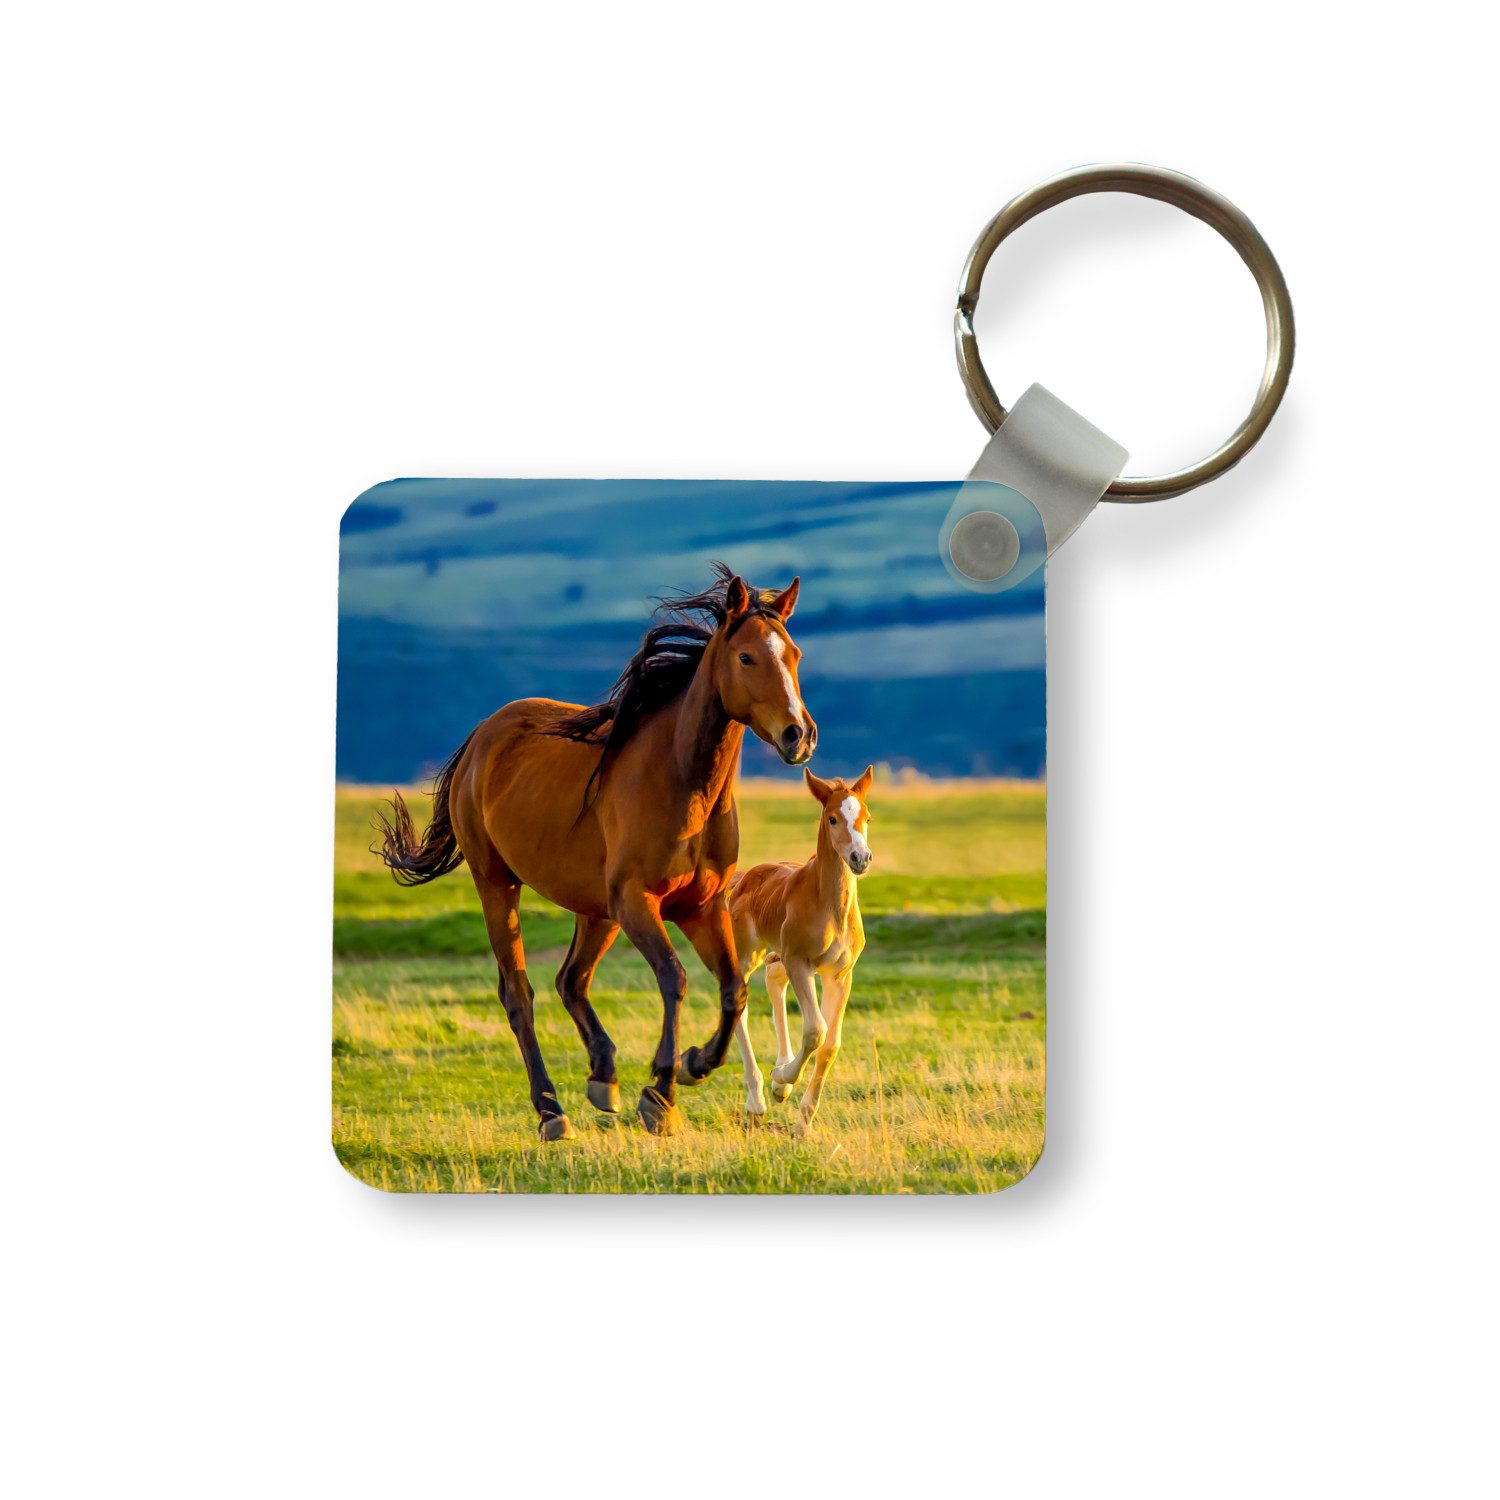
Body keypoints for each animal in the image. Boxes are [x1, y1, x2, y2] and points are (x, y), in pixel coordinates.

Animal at [374, 566, 816, 1140]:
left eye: (795, 655)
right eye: (746, 658)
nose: (799, 735)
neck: (682, 782)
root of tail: (482, 738)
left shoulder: (700, 908)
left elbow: (733, 990)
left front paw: (694, 1064)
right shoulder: (638, 902)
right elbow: (674, 979)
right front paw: (660, 1094)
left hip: (596, 911)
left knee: (571, 980)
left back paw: (603, 1077)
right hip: (499, 885)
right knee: (519, 994)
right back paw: (551, 1110)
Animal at [727, 764, 874, 1134]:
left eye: (866, 817)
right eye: (833, 818)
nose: (861, 858)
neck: (830, 906)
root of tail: (744, 877)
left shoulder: (839, 974)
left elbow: (831, 1044)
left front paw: (803, 1122)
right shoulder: (800, 963)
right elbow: (815, 1030)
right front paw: (781, 1079)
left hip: (778, 955)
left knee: (773, 982)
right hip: (747, 953)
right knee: (740, 1003)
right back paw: (758, 1099)